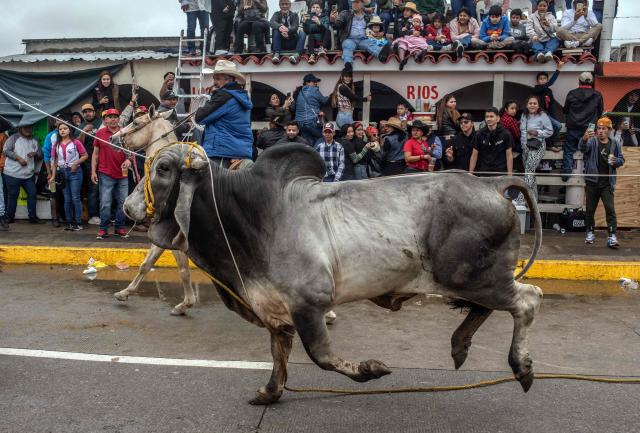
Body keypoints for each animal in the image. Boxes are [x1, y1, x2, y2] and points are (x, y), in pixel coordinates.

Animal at [124, 142, 543, 405]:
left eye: (163, 169)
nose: (128, 208)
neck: (247, 214)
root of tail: (491, 182)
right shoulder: (276, 309)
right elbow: (279, 354)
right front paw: (270, 393)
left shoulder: (308, 303)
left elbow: (321, 356)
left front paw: (370, 369)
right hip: (470, 280)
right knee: (487, 307)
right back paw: (460, 346)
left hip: (472, 277)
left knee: (528, 300)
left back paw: (520, 367)